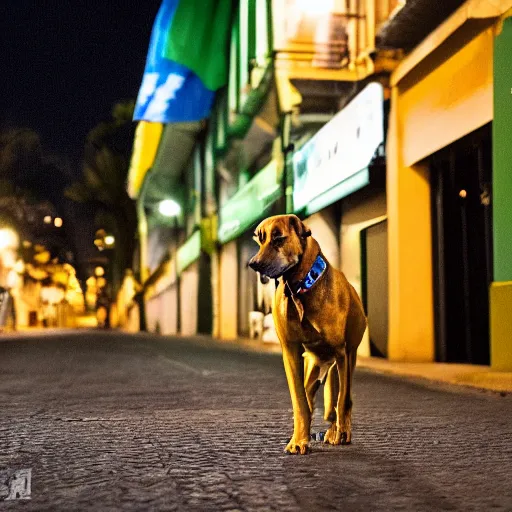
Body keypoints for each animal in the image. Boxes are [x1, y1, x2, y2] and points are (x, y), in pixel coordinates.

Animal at [249, 214, 366, 454]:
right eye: (260, 240)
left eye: (279, 238)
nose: (253, 264)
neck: (301, 289)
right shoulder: (291, 351)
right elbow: (300, 401)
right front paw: (299, 440)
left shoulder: (342, 353)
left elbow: (342, 400)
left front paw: (342, 432)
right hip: (314, 366)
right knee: (311, 395)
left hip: (346, 358)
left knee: (341, 400)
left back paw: (337, 430)